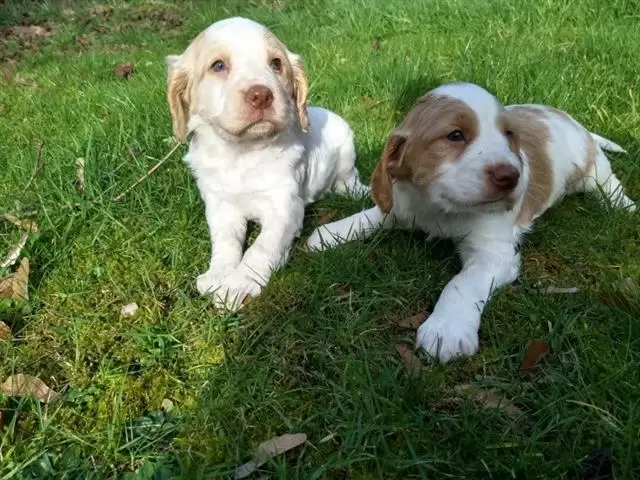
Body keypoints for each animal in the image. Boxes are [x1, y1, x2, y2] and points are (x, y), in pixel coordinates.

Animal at [168, 16, 368, 310]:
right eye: (218, 66)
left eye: (275, 63)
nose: (261, 95)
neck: (242, 152)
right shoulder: (220, 206)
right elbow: (225, 242)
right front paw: (219, 274)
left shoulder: (284, 207)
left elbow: (261, 247)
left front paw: (238, 284)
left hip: (346, 151)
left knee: (347, 179)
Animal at [306, 82, 636, 362]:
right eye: (455, 135)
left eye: (509, 135)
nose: (511, 176)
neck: (439, 209)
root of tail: (571, 120)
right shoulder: (400, 206)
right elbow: (371, 215)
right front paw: (327, 234)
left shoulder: (493, 254)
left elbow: (461, 283)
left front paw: (446, 329)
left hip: (594, 169)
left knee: (609, 183)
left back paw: (625, 206)